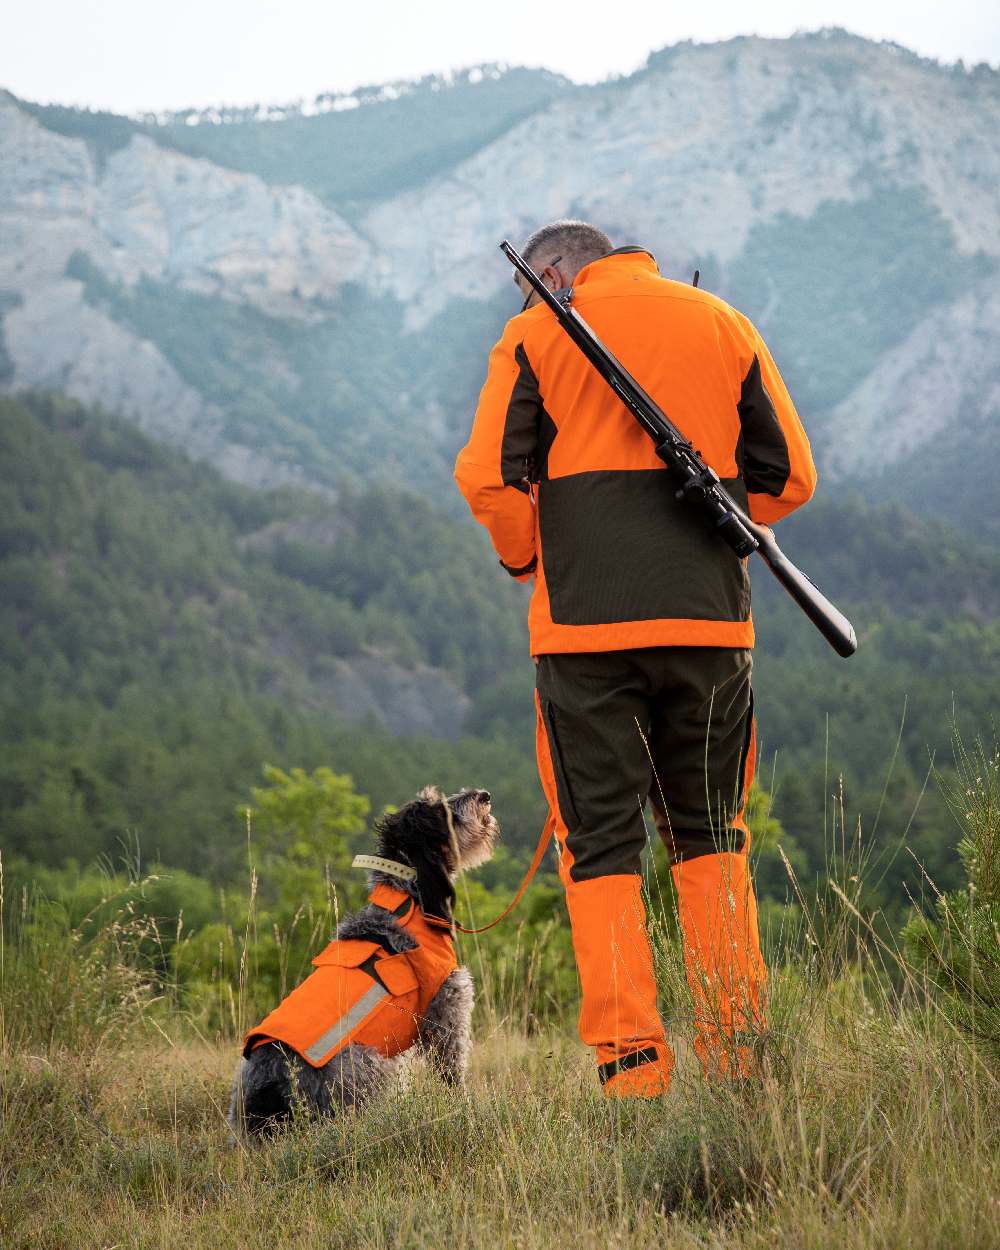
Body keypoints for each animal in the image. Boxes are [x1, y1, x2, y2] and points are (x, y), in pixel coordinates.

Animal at [228, 785, 497, 1140]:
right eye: (441, 810)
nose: (484, 795)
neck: (408, 901)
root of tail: (271, 1102)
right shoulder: (447, 1013)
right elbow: (453, 1077)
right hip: (373, 1065)